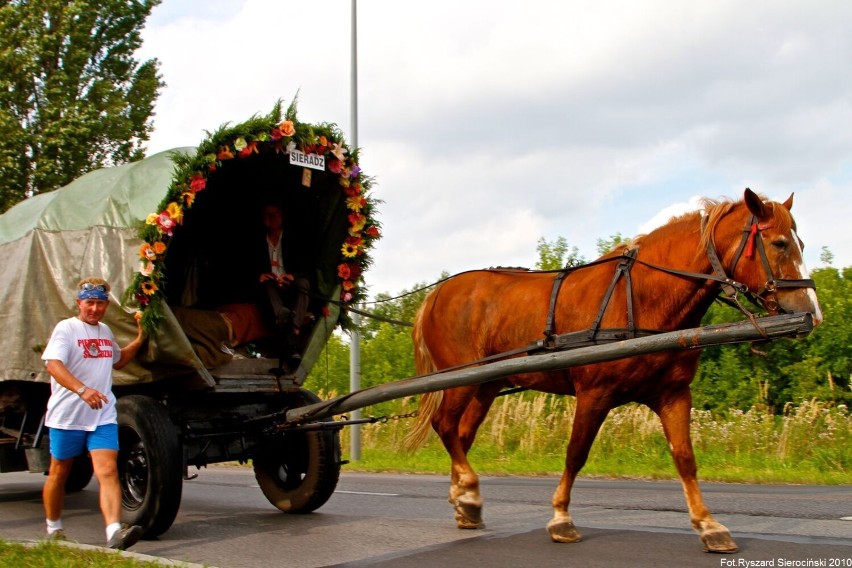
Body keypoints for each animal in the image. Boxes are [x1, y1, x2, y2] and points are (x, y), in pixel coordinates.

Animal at [406, 189, 824, 552]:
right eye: (780, 244)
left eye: (800, 243)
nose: (813, 313)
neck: (639, 297)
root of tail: (436, 294)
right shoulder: (594, 394)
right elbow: (576, 453)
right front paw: (561, 518)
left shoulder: (673, 395)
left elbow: (685, 458)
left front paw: (709, 525)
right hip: (462, 381)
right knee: (445, 426)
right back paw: (469, 491)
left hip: (486, 384)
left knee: (461, 434)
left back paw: (464, 501)